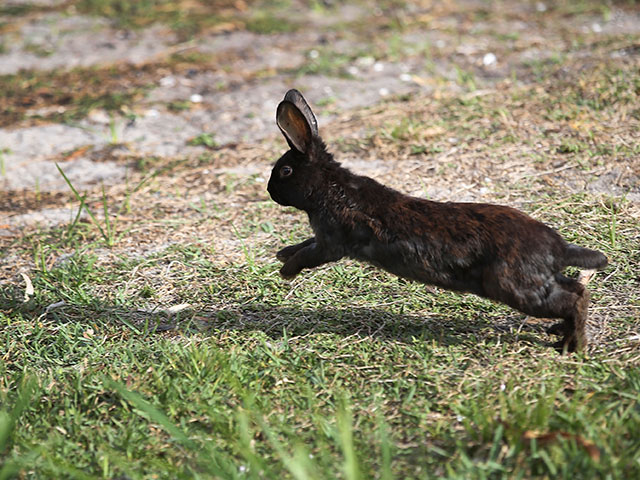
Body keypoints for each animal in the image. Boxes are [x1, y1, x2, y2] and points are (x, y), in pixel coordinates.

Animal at [268, 90, 608, 352]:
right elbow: (303, 244)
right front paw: (282, 254)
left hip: (513, 287)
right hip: (538, 280)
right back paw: (561, 335)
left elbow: (309, 254)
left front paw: (286, 271)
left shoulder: (332, 241)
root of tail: (558, 249)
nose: (270, 191)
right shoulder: (323, 237)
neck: (330, 187)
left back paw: (572, 347)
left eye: (285, 171)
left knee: (571, 301)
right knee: (578, 290)